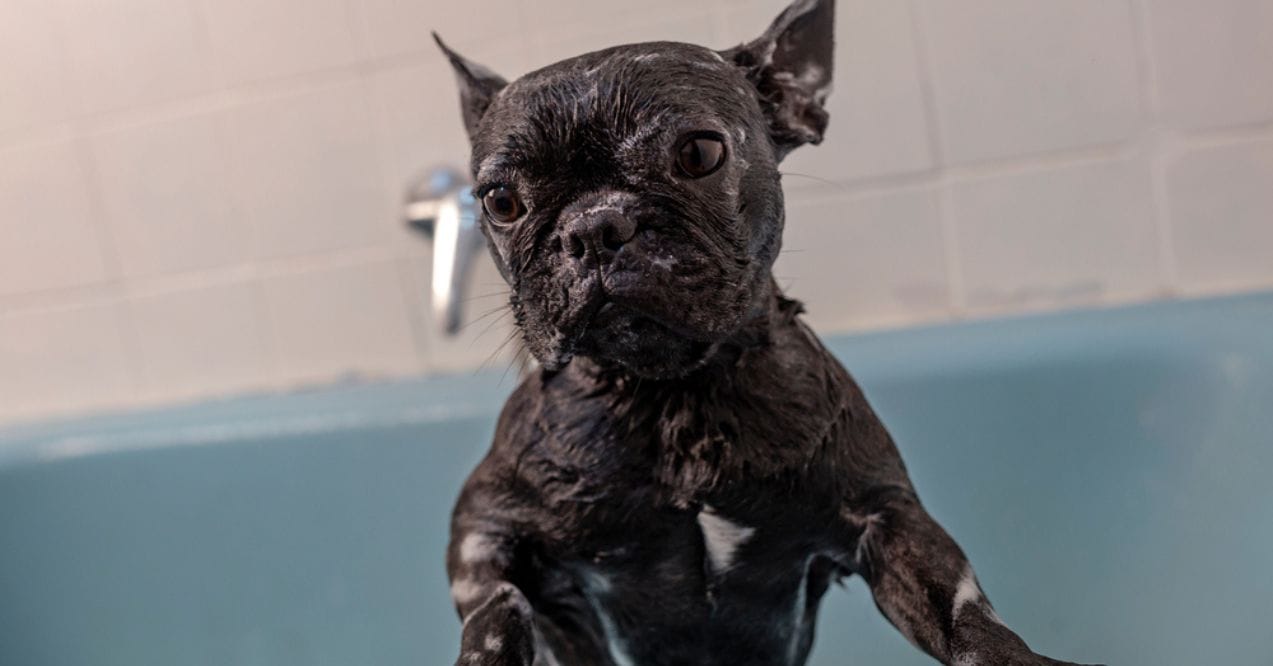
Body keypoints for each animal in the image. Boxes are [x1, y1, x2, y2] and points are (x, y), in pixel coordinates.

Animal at [437, 2, 1094, 662]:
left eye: (699, 154)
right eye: (499, 201)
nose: (594, 226)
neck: (674, 396)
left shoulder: (888, 520)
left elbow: (961, 612)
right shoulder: (482, 527)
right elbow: (495, 601)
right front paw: (489, 647)